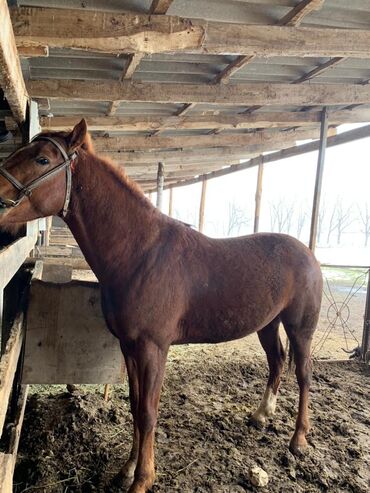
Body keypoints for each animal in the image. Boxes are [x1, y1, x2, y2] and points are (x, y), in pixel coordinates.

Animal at [0, 120, 320, 492]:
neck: (140, 254)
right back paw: (260, 416)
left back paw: (298, 441)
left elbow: (149, 412)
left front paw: (142, 479)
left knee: (303, 373)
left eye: (42, 159)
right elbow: (136, 407)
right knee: (277, 361)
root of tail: (307, 253)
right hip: (268, 324)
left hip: (301, 327)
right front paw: (126, 470)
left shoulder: (154, 348)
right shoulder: (129, 346)